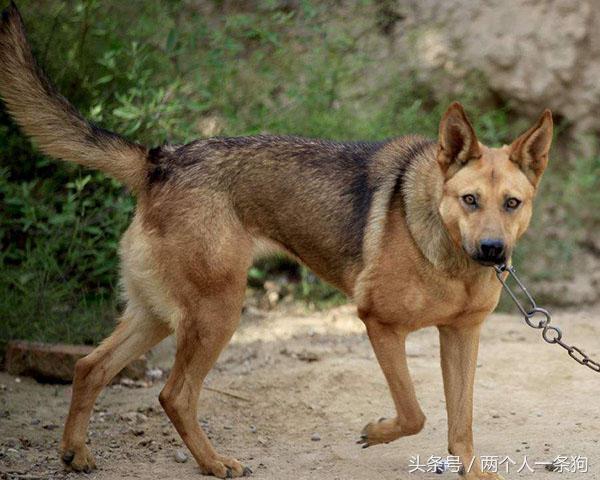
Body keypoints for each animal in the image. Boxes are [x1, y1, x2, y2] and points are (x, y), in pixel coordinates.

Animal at [0, 1, 552, 478]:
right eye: (469, 200)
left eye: (512, 204)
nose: (492, 251)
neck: (448, 256)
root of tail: (160, 160)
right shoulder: (379, 324)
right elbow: (414, 413)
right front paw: (375, 431)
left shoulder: (462, 335)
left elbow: (461, 422)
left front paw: (472, 471)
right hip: (217, 312)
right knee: (174, 394)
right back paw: (214, 463)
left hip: (157, 313)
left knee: (89, 367)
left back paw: (76, 452)